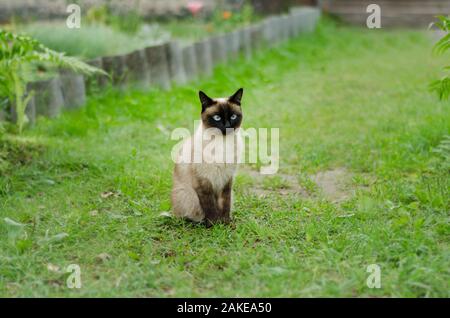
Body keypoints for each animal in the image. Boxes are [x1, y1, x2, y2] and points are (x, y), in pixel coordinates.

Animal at [171, 87, 243, 226]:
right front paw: (214, 224)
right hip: (187, 195)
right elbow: (209, 205)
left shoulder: (227, 179)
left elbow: (225, 203)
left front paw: (225, 223)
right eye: (217, 117)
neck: (222, 143)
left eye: (233, 116)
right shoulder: (203, 181)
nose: (227, 126)